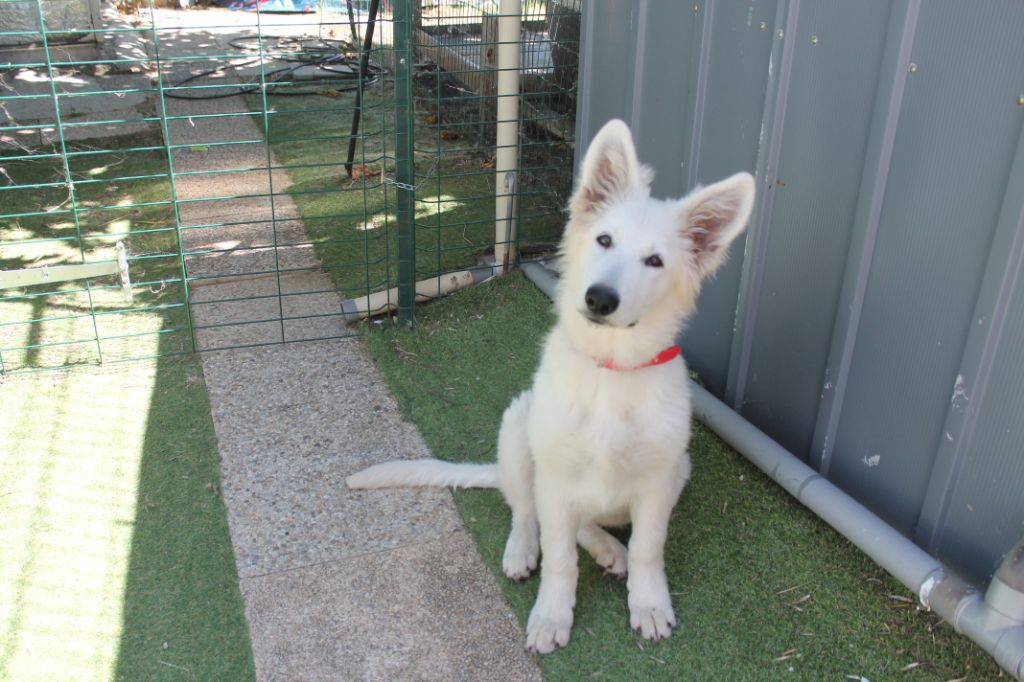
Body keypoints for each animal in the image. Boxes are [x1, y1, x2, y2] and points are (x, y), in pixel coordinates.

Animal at [348, 119, 757, 651]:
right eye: (604, 240)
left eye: (655, 261)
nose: (600, 299)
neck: (608, 369)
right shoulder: (557, 476)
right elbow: (560, 557)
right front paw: (551, 614)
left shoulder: (655, 481)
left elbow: (648, 548)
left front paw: (648, 603)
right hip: (521, 429)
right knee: (528, 509)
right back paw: (527, 550)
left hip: (678, 468)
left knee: (586, 524)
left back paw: (609, 549)